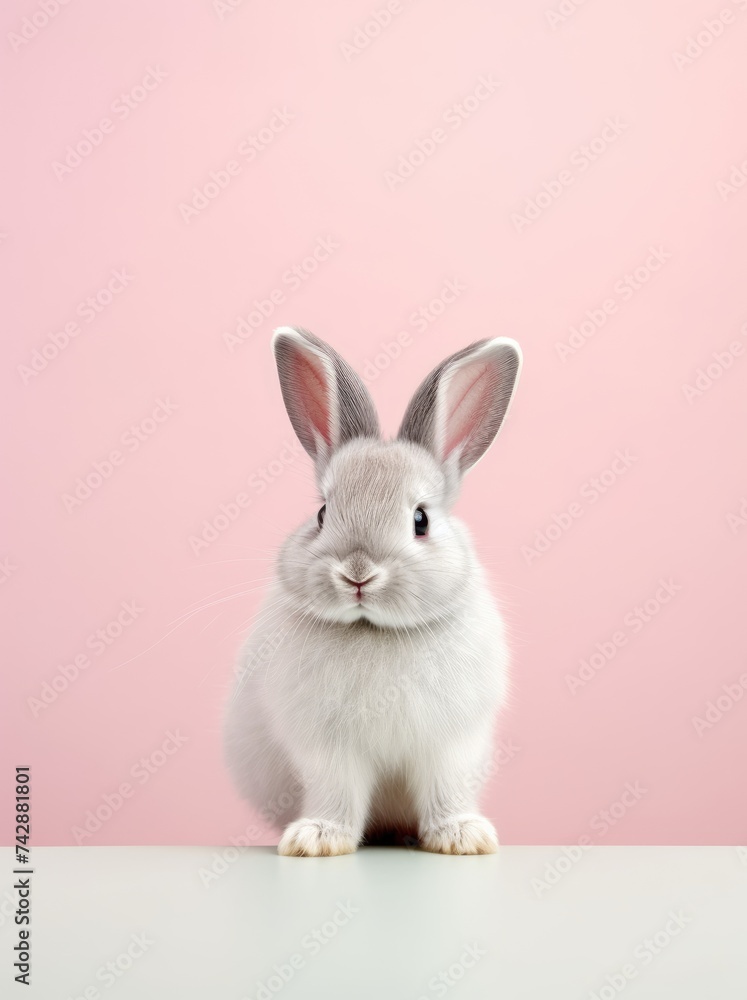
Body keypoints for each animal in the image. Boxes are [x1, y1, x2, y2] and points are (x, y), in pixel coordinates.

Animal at [224, 326, 522, 856]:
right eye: (322, 513)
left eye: (421, 520)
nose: (357, 574)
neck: (374, 632)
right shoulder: (327, 750)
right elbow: (336, 793)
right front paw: (316, 840)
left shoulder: (450, 746)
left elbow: (445, 789)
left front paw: (463, 838)